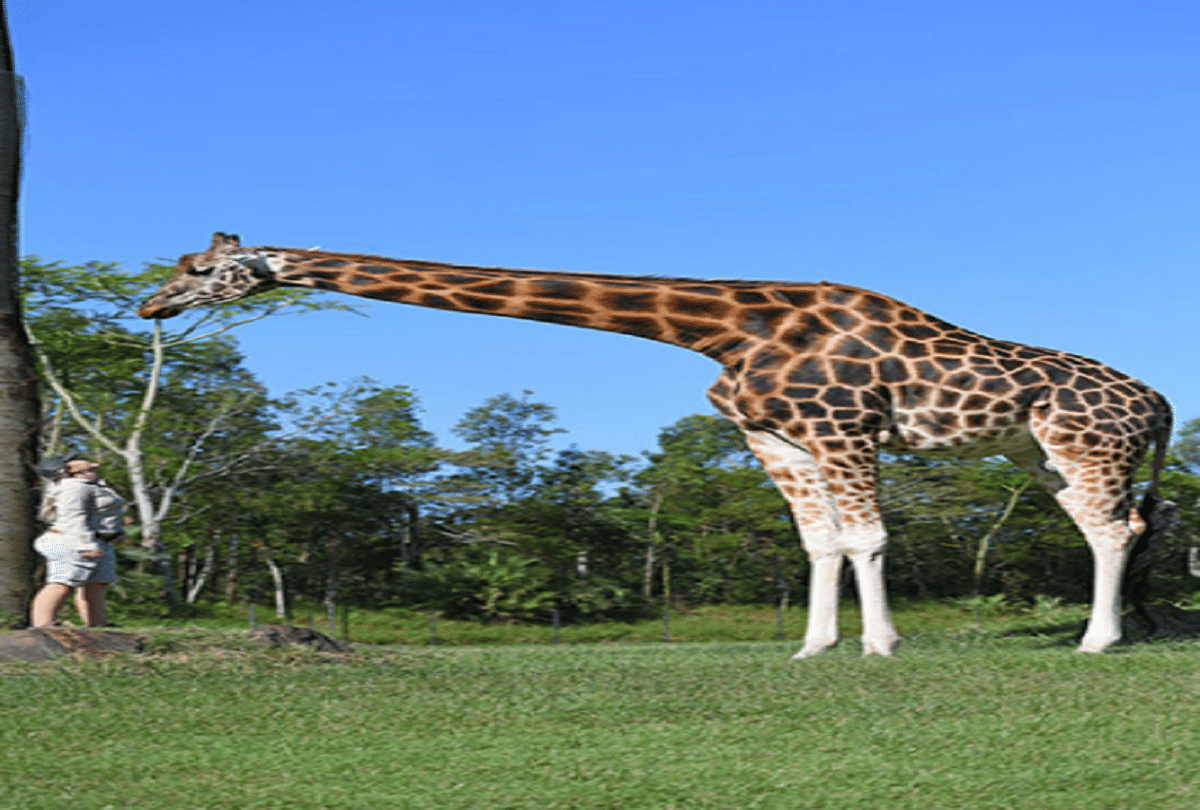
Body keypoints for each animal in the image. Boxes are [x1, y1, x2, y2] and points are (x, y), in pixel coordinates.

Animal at [138, 233, 1174, 656]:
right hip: (1041, 455)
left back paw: (1097, 642)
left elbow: (869, 538)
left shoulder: (843, 425)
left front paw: (880, 648)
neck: (720, 328)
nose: (149, 304)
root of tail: (1161, 404)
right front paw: (814, 650)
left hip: (1085, 447)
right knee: (1121, 527)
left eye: (200, 268)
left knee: (1111, 531)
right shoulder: (775, 436)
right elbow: (822, 544)